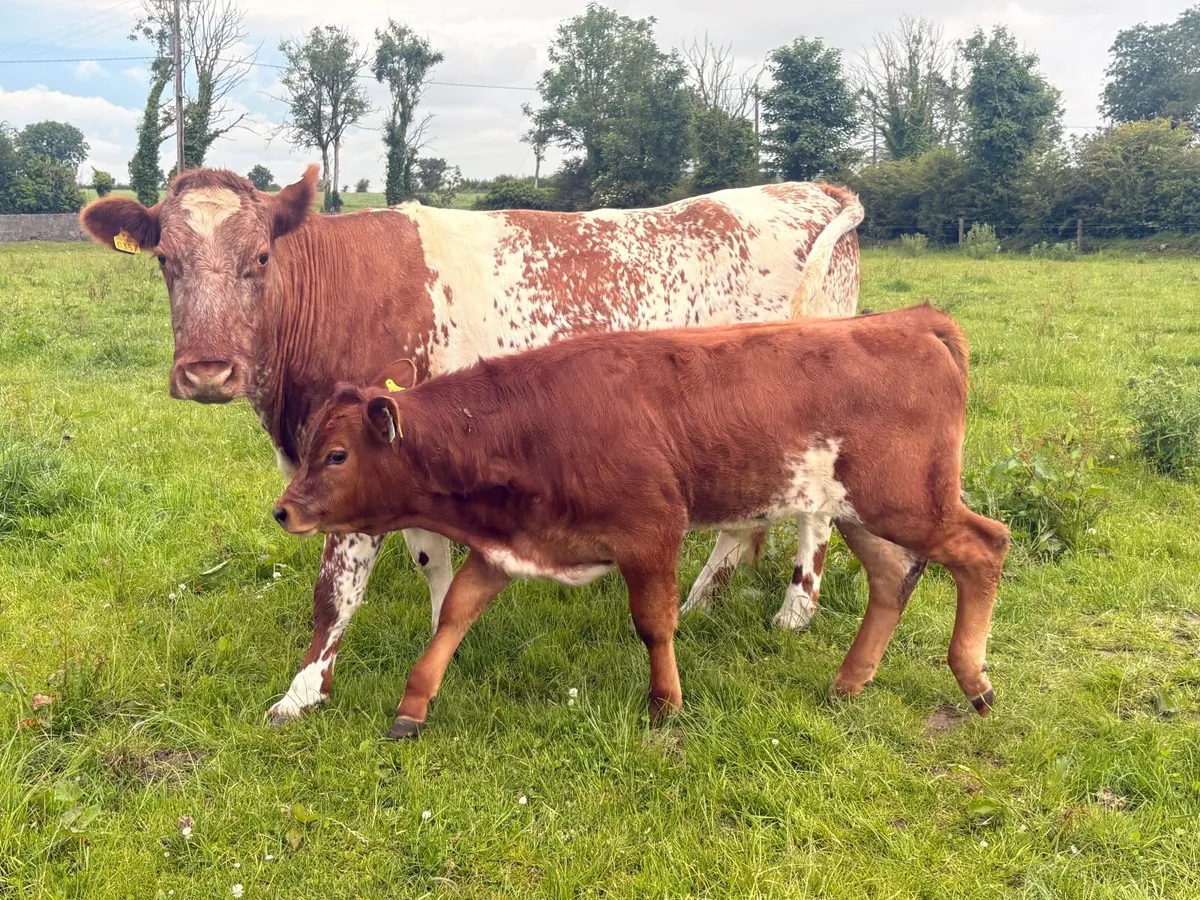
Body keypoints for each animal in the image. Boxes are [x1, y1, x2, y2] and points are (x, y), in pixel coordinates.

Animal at [79, 165, 889, 724]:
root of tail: (810, 187)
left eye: (260, 258)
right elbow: (430, 555)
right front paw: (447, 627)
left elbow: (336, 588)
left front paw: (302, 691)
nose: (207, 371)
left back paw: (795, 610)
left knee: (815, 512)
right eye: (164, 259)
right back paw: (705, 598)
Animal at [273, 305, 1010, 738]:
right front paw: (413, 705)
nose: (283, 509)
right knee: (891, 578)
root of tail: (912, 321)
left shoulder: (651, 532)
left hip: (909, 501)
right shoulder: (509, 545)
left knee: (985, 547)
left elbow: (655, 623)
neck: (530, 424)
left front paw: (665, 704)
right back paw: (849, 681)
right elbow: (455, 614)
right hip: (859, 508)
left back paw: (972, 679)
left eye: (336, 454)